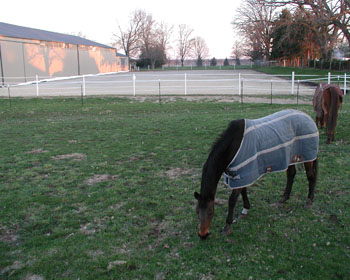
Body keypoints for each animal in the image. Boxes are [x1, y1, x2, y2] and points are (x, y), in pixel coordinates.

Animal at [194, 109, 320, 238]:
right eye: (197, 211)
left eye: (210, 212)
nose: (203, 235)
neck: (233, 146)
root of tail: (308, 117)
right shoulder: (242, 174)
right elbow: (243, 191)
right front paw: (245, 209)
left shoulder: (243, 173)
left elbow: (232, 200)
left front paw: (227, 226)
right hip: (290, 157)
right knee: (291, 174)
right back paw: (284, 198)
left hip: (307, 156)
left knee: (310, 175)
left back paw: (309, 201)